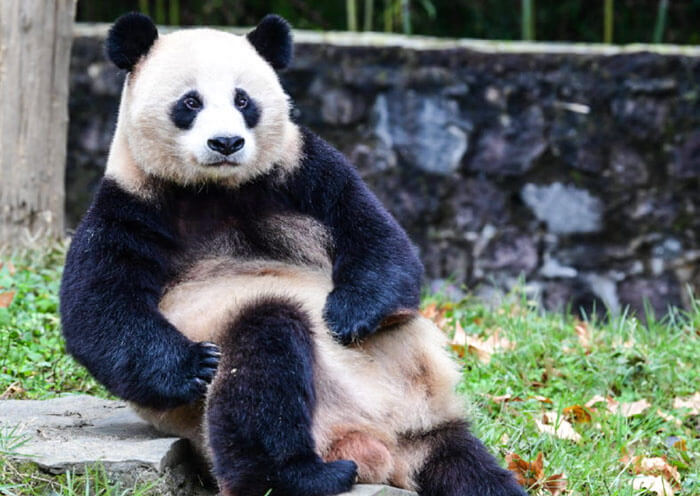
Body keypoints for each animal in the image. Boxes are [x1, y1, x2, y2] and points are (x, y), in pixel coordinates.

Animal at [60, 12, 526, 496]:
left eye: (243, 99)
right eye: (190, 102)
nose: (226, 143)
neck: (215, 188)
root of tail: (384, 446)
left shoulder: (299, 171)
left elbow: (377, 238)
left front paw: (348, 315)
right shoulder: (131, 204)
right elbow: (99, 313)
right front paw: (192, 366)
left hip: (429, 424)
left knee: (467, 465)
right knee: (263, 365)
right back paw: (302, 475)